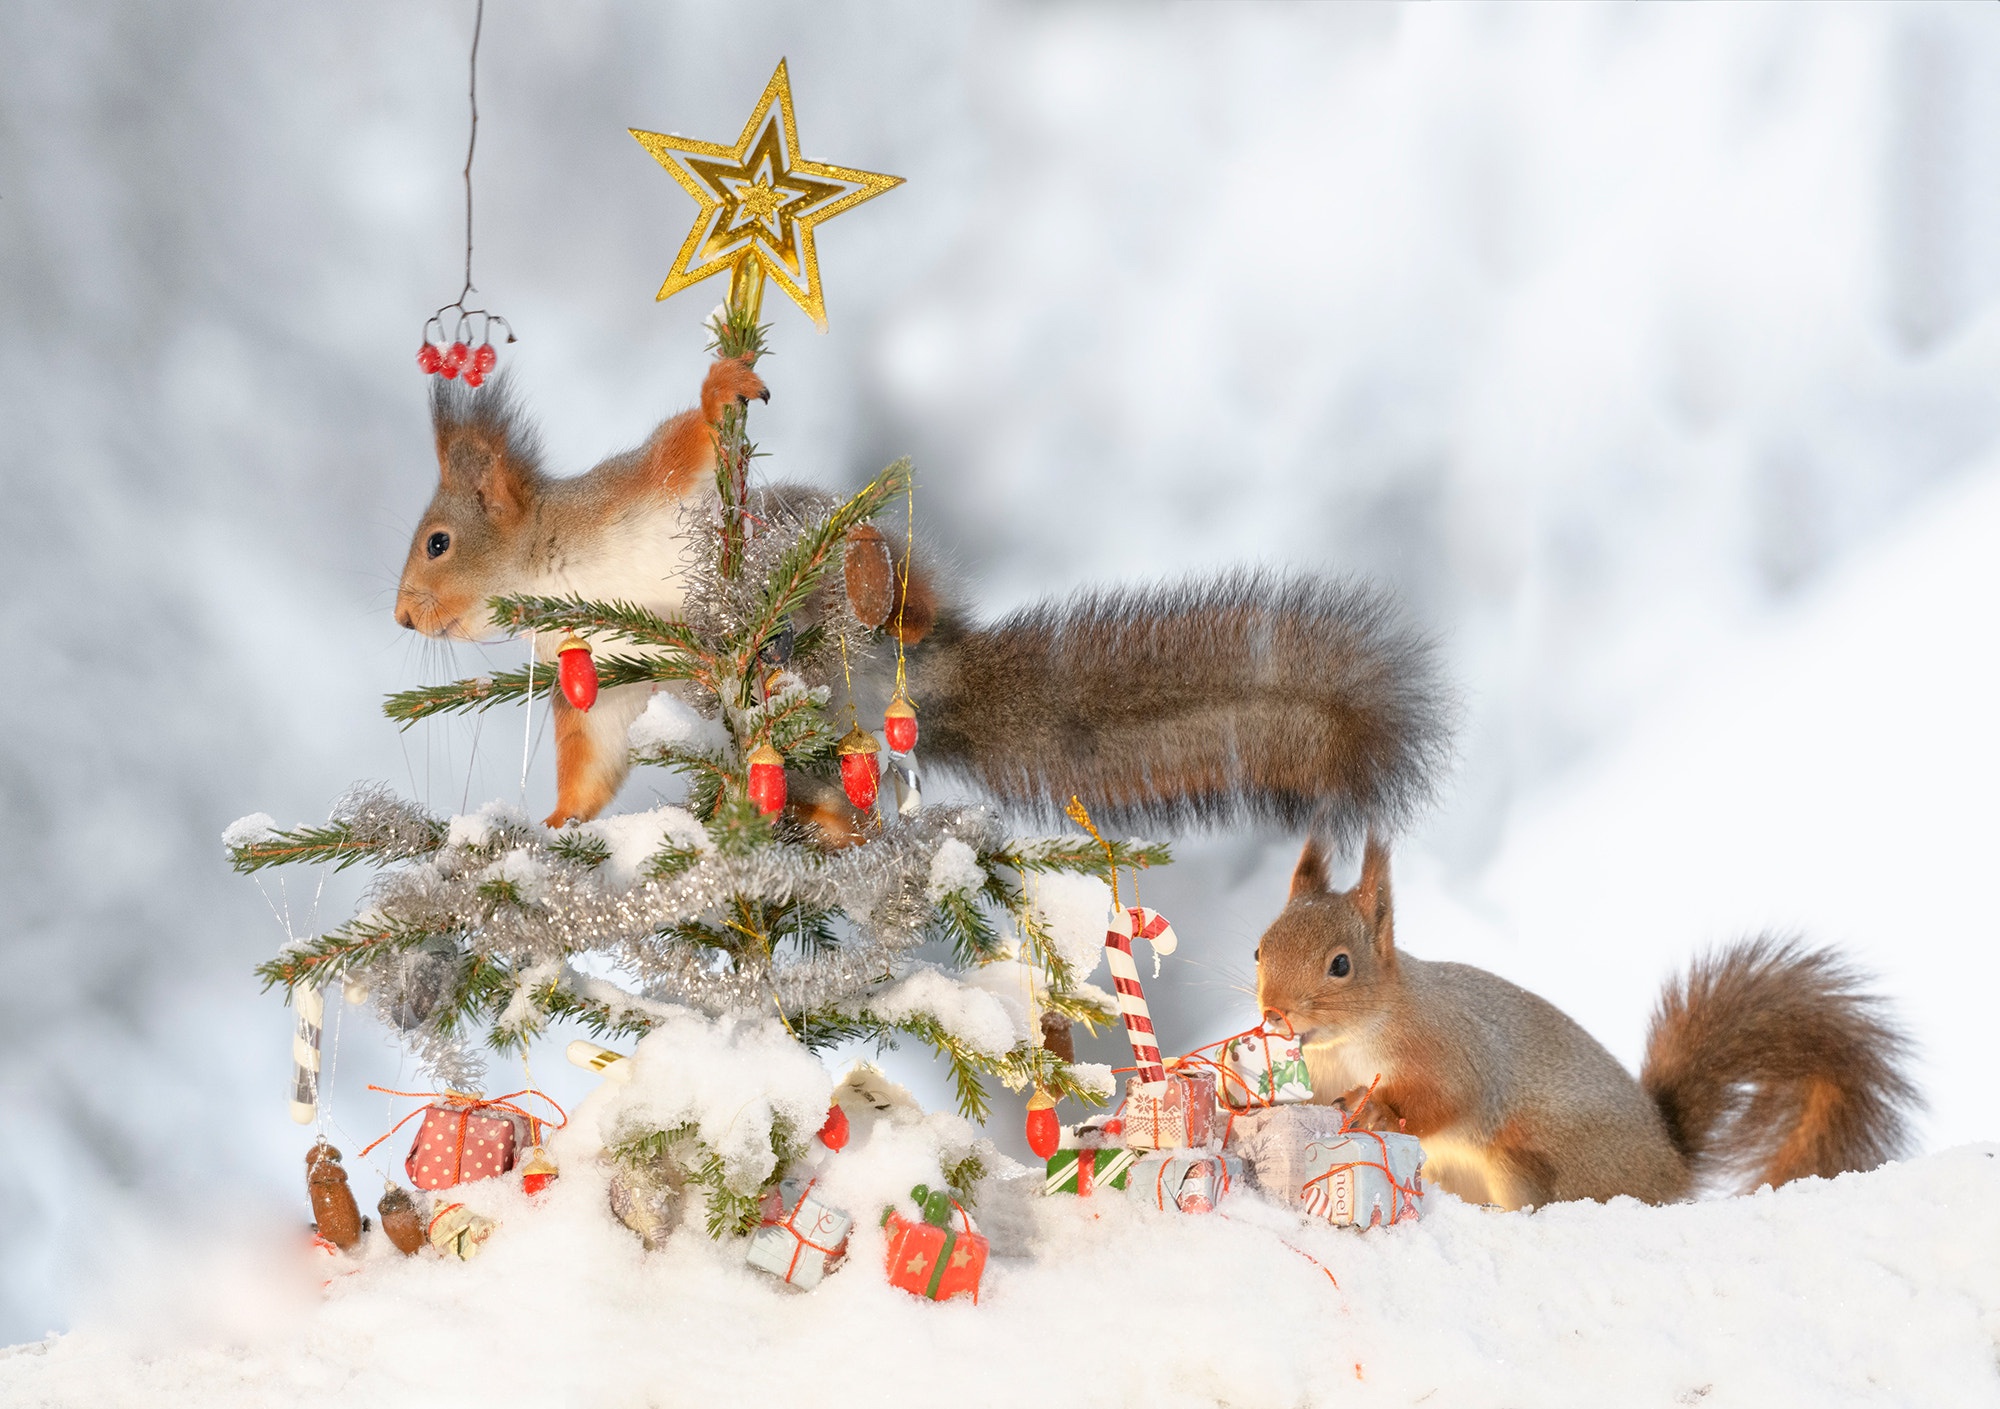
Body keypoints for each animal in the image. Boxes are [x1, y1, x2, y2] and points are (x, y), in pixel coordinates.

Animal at [395, 353, 1451, 838]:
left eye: (438, 541)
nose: (402, 614)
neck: (554, 570)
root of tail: (917, 685)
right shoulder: (607, 677)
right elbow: (595, 758)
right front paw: (555, 827)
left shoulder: (641, 492)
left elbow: (688, 441)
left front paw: (722, 384)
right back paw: (824, 820)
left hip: (827, 542)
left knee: (906, 592)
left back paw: (871, 584)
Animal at [1254, 835, 1923, 1210]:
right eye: (1259, 949)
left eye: (1341, 964)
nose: (1272, 1012)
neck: (1347, 1044)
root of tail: (1671, 1166)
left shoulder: (1449, 1046)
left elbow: (1447, 1099)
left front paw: (1377, 1109)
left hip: (1526, 1164)